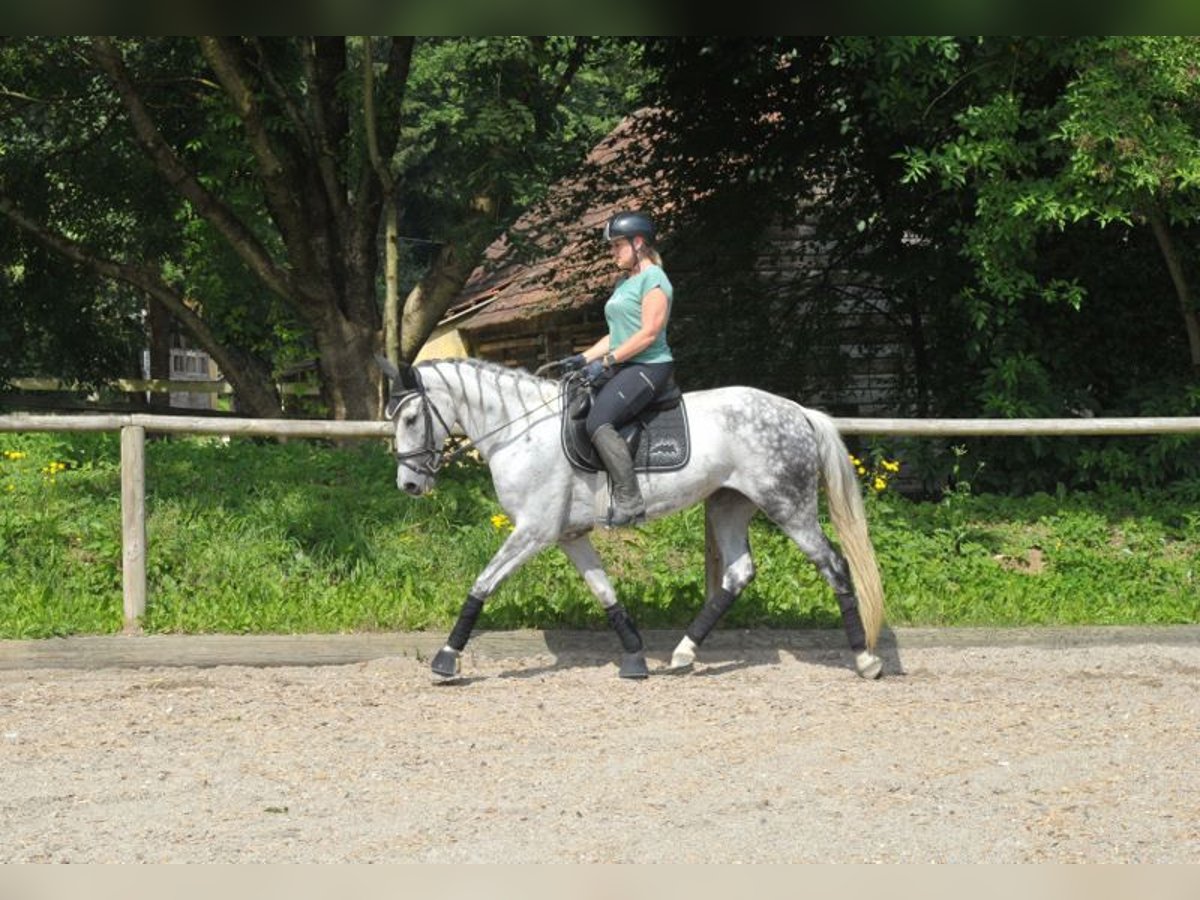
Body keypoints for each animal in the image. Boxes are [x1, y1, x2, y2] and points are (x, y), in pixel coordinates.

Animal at [379, 355, 888, 681]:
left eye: (410, 419)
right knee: (739, 573)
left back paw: (865, 660)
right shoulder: (568, 534)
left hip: (788, 505)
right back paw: (683, 654)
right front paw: (635, 657)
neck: (520, 431)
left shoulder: (534, 531)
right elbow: (604, 591)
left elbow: (483, 583)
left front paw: (446, 658)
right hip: (727, 503)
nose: (409, 485)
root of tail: (797, 411)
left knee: (834, 566)